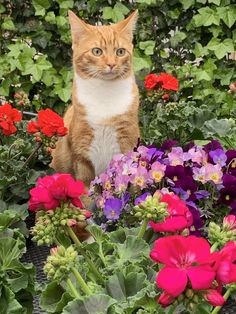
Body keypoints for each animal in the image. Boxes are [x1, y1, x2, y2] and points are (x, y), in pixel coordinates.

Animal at [50, 9, 139, 186]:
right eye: (97, 51)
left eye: (120, 51)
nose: (111, 64)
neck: (104, 94)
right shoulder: (82, 151)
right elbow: (85, 187)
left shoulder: (127, 141)